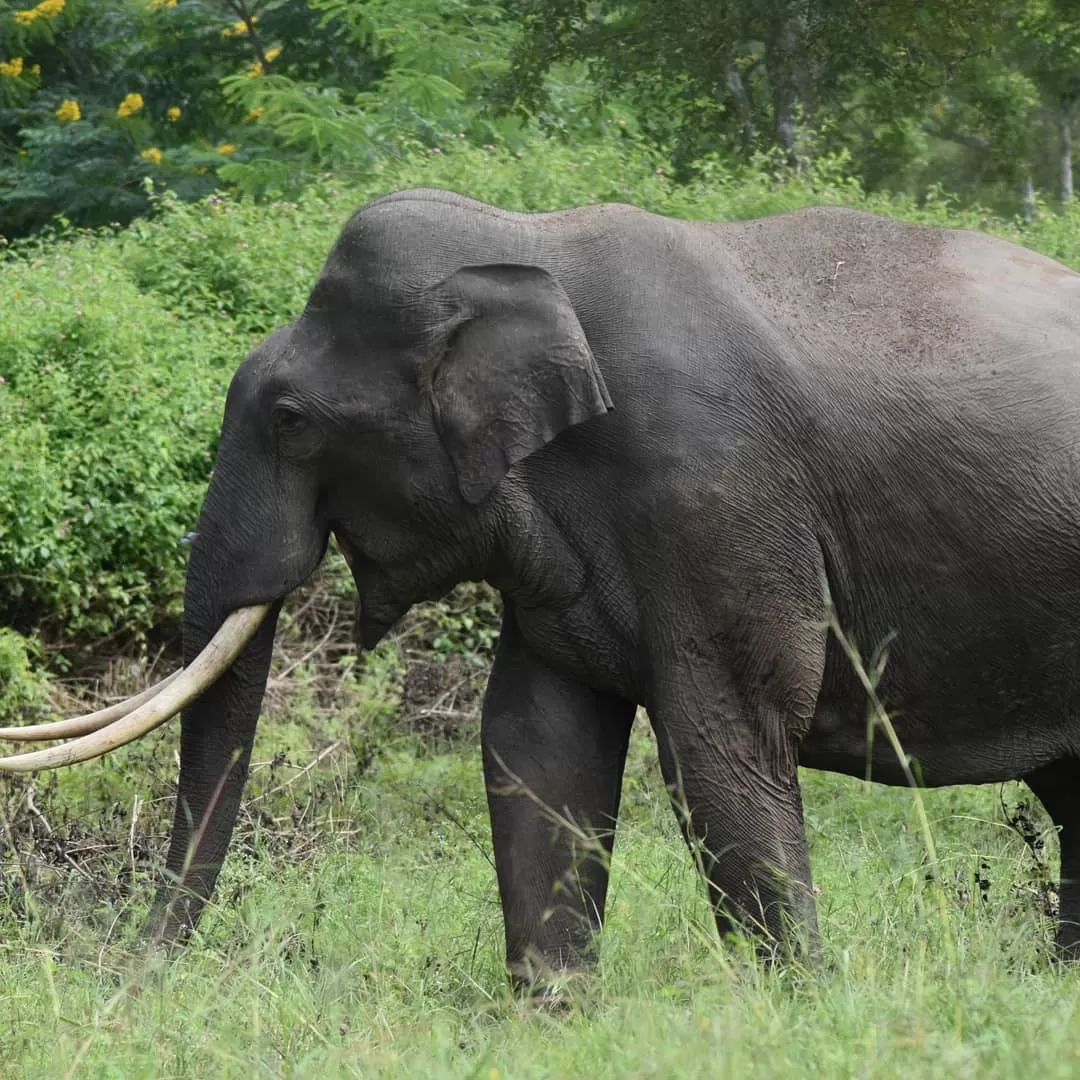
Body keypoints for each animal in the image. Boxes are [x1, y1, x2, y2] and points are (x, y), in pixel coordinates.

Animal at [2, 187, 1080, 989]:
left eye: (293, 421)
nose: (131, 975)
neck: (524, 243)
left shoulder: (713, 489)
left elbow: (725, 737)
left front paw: (797, 1004)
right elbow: (536, 741)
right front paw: (554, 1011)